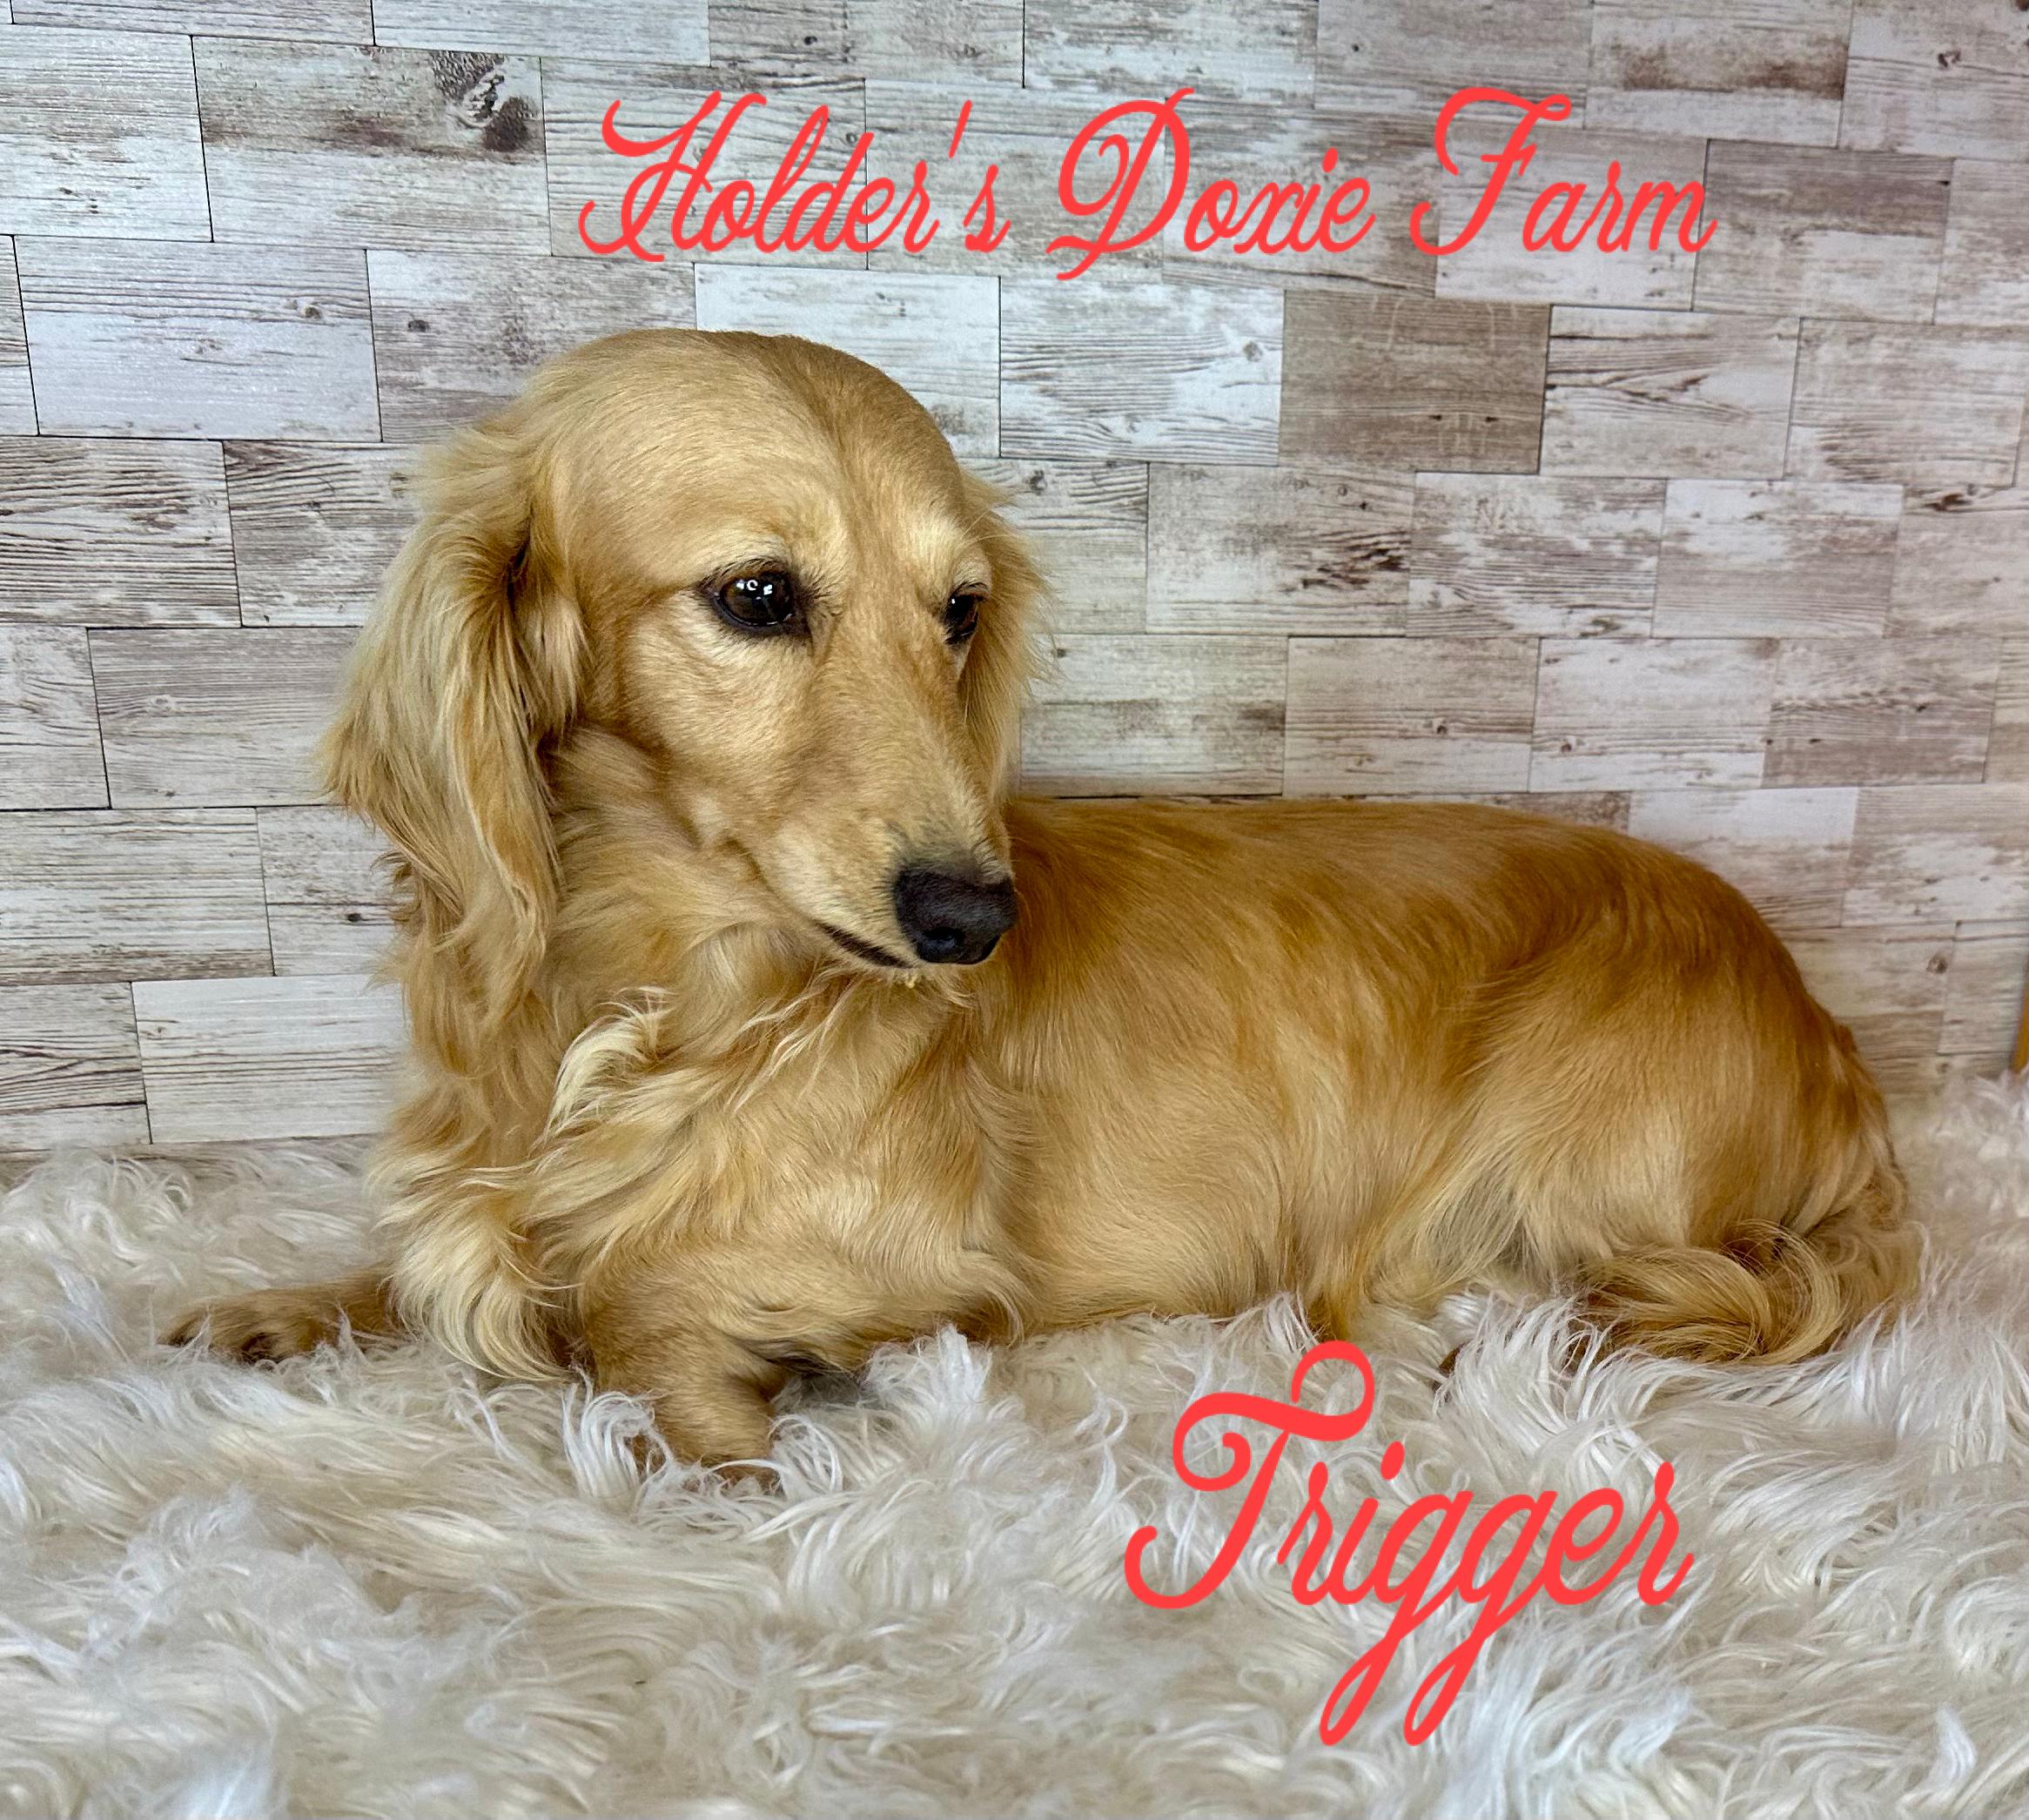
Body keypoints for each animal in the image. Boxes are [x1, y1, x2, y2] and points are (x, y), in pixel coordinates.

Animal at [169, 329, 1917, 1471]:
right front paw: (282, 1304)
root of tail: (1824, 1033)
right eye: (756, 594)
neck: (660, 991)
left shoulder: (936, 1273)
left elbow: (627, 1297)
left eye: (958, 609)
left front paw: (703, 1416)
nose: (970, 920)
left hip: (1559, 1161)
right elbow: (432, 1260)